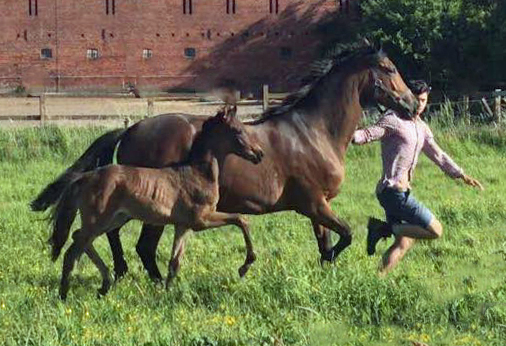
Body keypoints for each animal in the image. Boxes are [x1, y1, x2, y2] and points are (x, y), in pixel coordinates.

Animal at [48, 107, 262, 298]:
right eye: (238, 130)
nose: (259, 154)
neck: (197, 173)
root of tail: (85, 177)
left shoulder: (182, 225)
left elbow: (174, 262)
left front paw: (168, 293)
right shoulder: (201, 219)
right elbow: (241, 220)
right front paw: (245, 266)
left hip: (114, 219)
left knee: (79, 238)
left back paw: (104, 285)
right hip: (98, 220)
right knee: (72, 251)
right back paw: (64, 295)